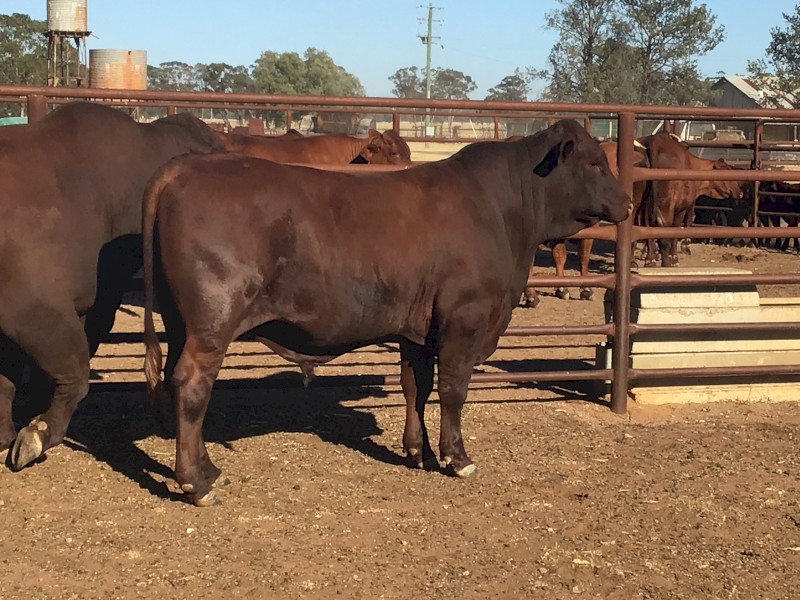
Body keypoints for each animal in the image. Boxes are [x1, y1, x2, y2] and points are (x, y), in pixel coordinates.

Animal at [140, 119, 632, 506]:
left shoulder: (418, 330)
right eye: (593, 162)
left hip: (180, 322)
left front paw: (418, 452)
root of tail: (187, 166)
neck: (504, 210)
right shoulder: (463, 320)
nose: (626, 203)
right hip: (212, 323)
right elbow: (453, 390)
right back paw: (197, 484)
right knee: (193, 386)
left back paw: (208, 469)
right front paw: (457, 457)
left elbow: (417, 388)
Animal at [639, 131, 744, 267]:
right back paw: (666, 262)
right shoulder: (683, 206)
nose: (740, 193)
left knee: (647, 226)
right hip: (665, 205)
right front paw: (676, 256)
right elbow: (680, 226)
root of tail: (655, 141)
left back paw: (651, 259)